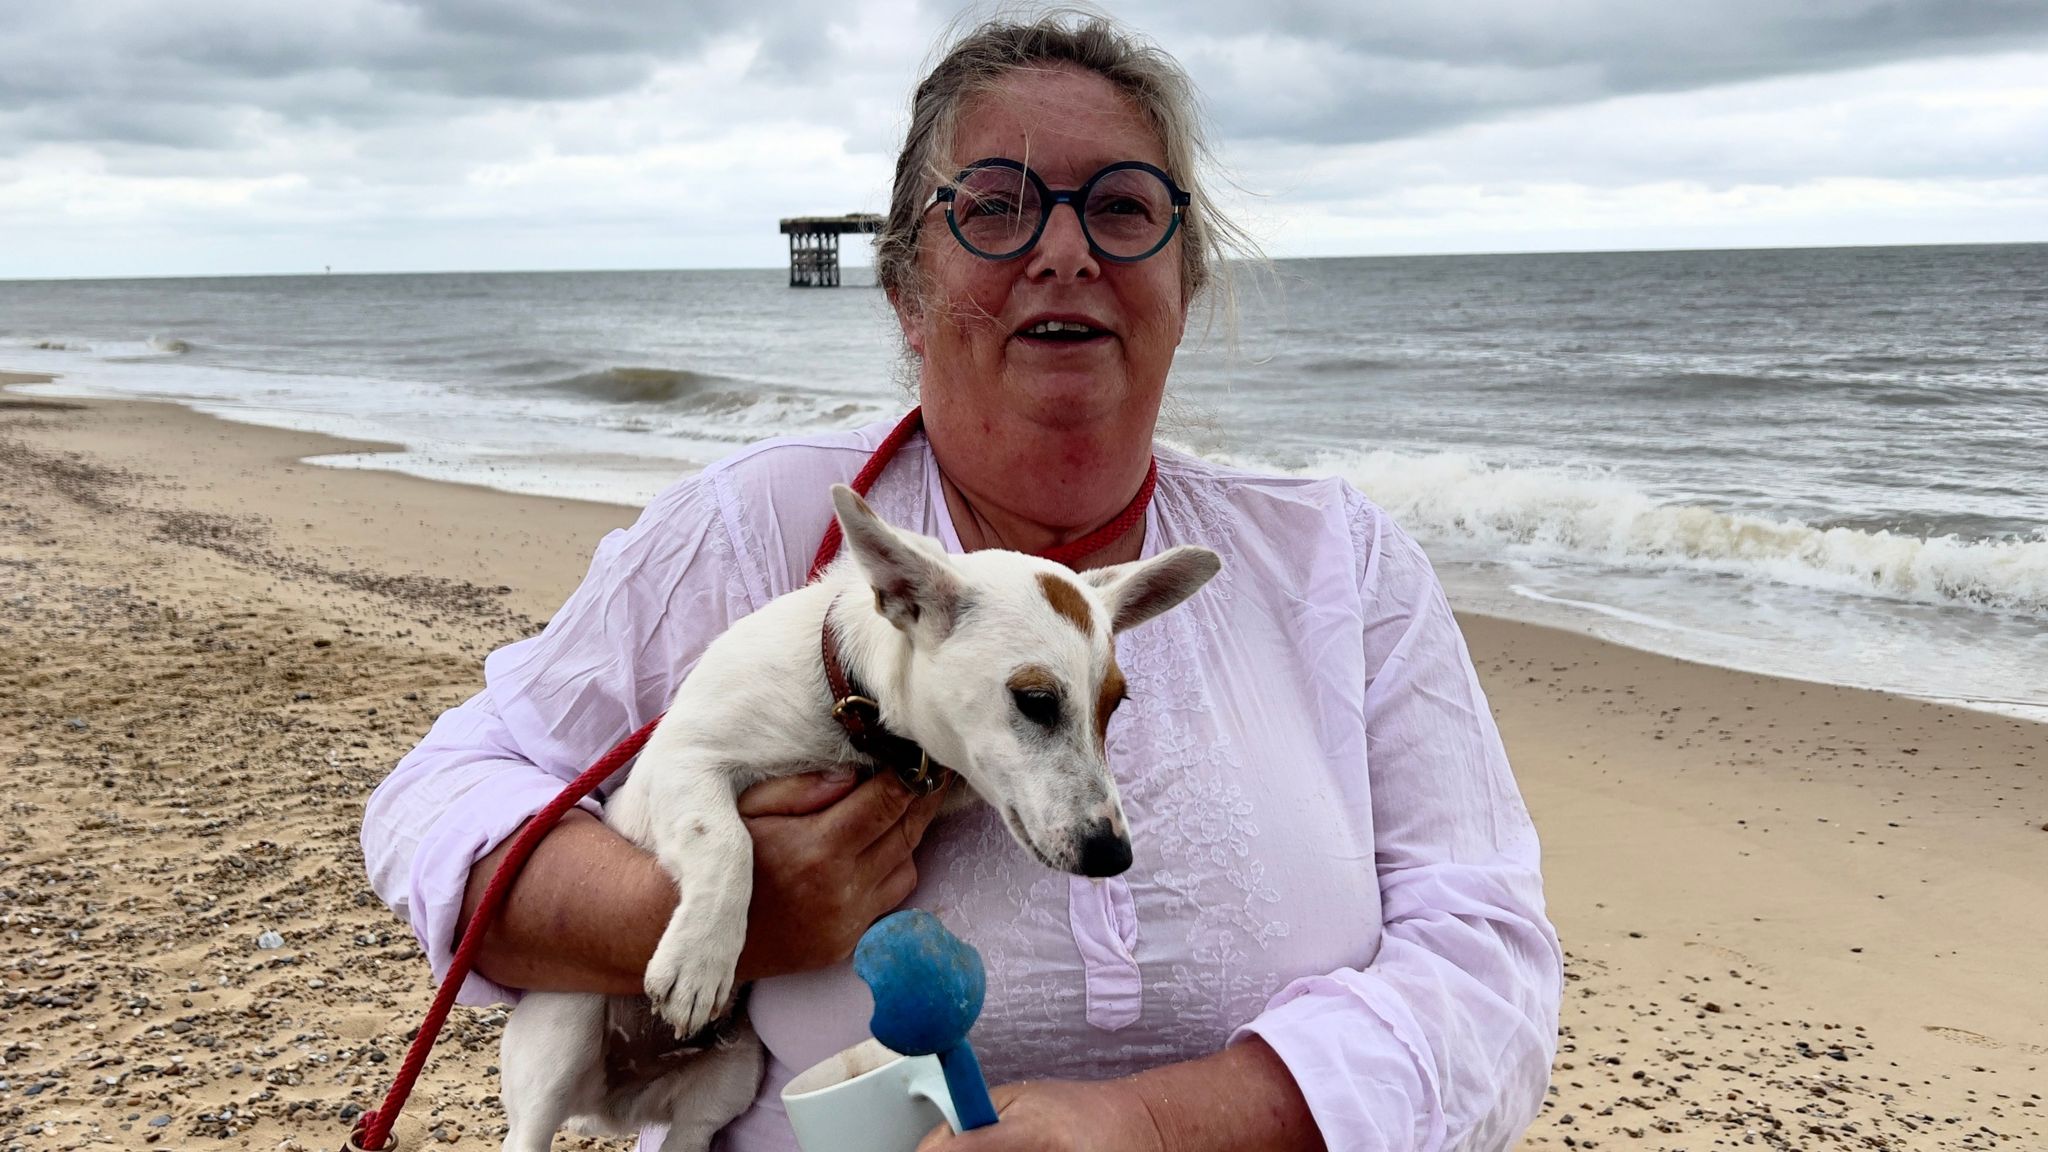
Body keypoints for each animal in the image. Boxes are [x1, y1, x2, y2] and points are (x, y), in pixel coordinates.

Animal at [499, 483, 1212, 1147]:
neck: (857, 715)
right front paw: (701, 959)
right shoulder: (683, 759)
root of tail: (619, 1099)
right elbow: (728, 844)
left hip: (729, 1080)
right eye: (1035, 701)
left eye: (1115, 705)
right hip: (563, 1033)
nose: (1114, 856)